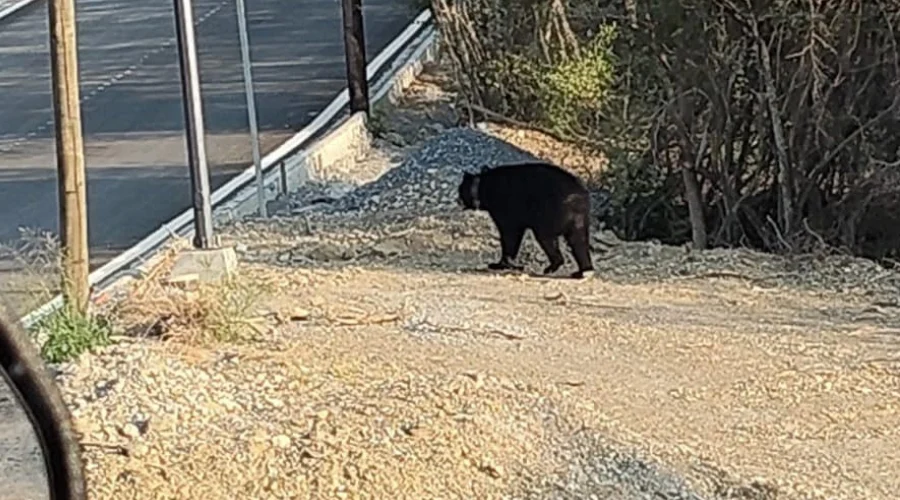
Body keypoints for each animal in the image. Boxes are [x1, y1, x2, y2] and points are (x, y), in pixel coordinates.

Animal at [456, 161, 594, 279]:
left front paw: (500, 264)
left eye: (460, 190)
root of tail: (578, 198)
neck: (482, 186)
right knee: (579, 242)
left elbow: (509, 235)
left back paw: (551, 267)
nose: (457, 200)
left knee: (548, 239)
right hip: (579, 221)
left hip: (548, 215)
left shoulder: (506, 211)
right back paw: (582, 271)